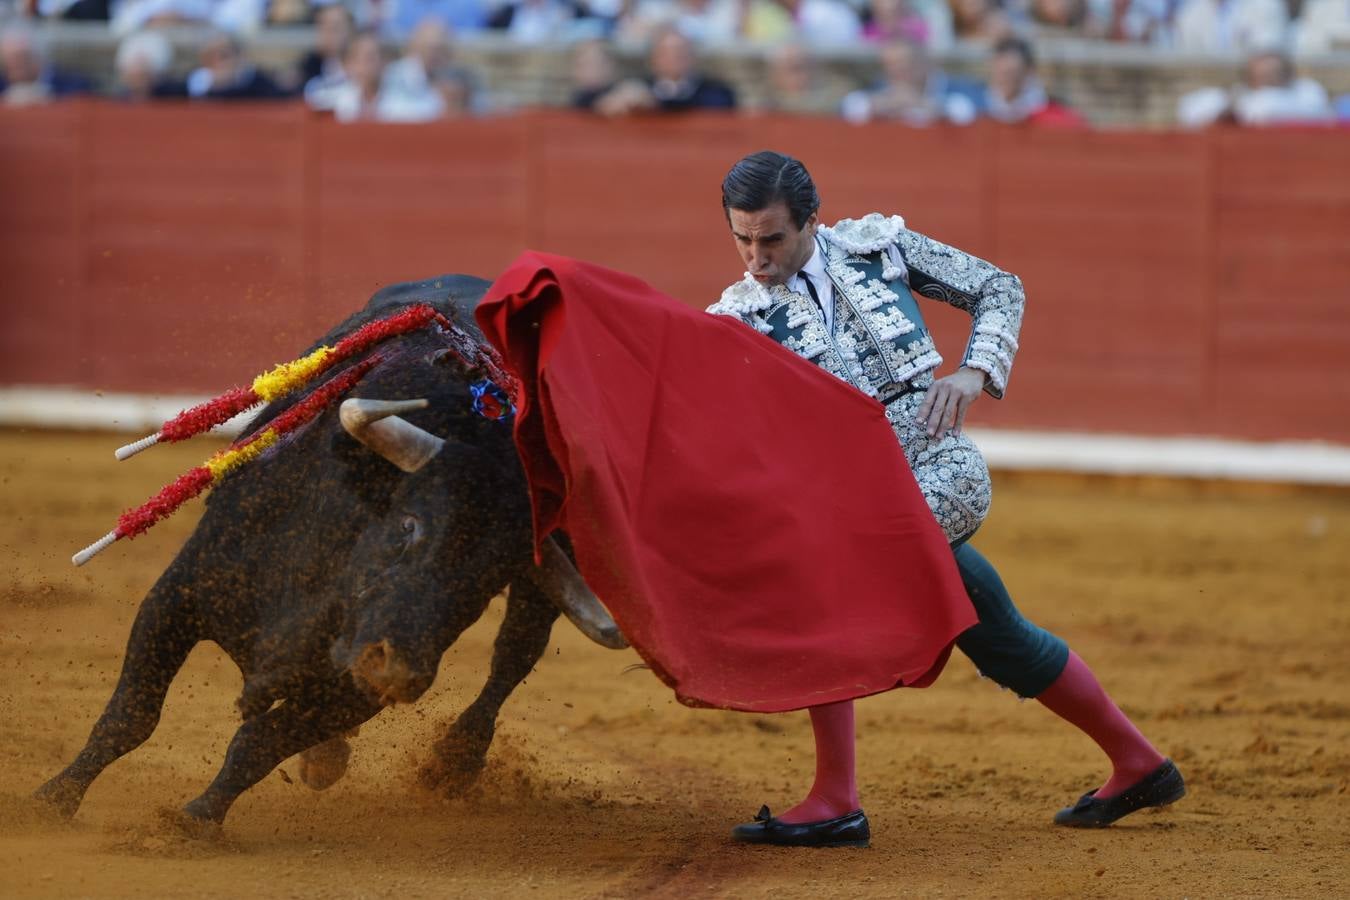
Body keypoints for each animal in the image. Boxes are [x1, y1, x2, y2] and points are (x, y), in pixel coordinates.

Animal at [31, 276, 621, 831]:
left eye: (489, 578)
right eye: (409, 524)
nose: (399, 671)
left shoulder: (353, 688)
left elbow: (260, 743)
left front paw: (196, 820)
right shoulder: (179, 595)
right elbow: (131, 716)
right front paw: (53, 799)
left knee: (514, 654)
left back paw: (453, 761)